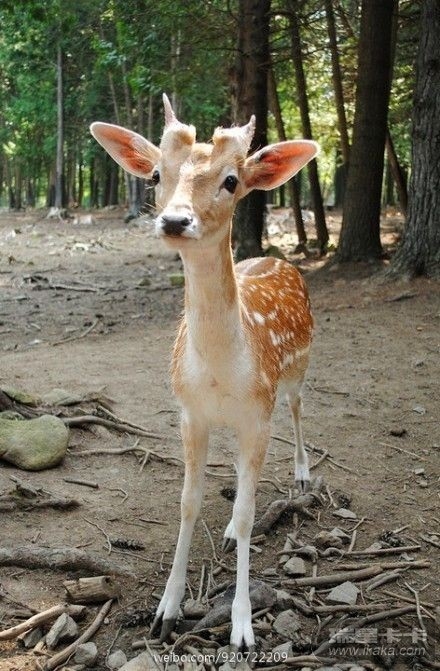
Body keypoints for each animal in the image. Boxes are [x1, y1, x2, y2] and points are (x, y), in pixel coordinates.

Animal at [90, 95, 318, 655]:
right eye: (156, 174)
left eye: (232, 179)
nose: (175, 220)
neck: (219, 373)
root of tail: (276, 259)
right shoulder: (189, 413)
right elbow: (188, 503)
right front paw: (165, 611)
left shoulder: (258, 414)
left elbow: (249, 509)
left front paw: (242, 628)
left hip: (297, 369)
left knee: (298, 408)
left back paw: (303, 474)